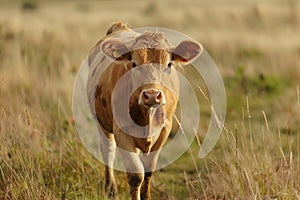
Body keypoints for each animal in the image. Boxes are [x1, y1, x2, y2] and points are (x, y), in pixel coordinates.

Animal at [86, 22, 203, 199]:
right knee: (108, 150)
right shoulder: (121, 130)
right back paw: (110, 188)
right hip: (101, 122)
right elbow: (136, 174)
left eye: (169, 64)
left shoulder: (165, 129)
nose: (152, 95)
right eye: (134, 64)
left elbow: (148, 169)